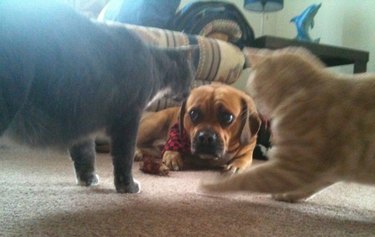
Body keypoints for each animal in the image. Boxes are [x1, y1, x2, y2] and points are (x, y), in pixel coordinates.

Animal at [0, 0, 197, 193]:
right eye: (190, 75)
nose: (190, 91)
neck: (155, 65)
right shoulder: (128, 119)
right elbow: (124, 156)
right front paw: (127, 186)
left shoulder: (82, 121)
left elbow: (85, 154)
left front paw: (87, 179)